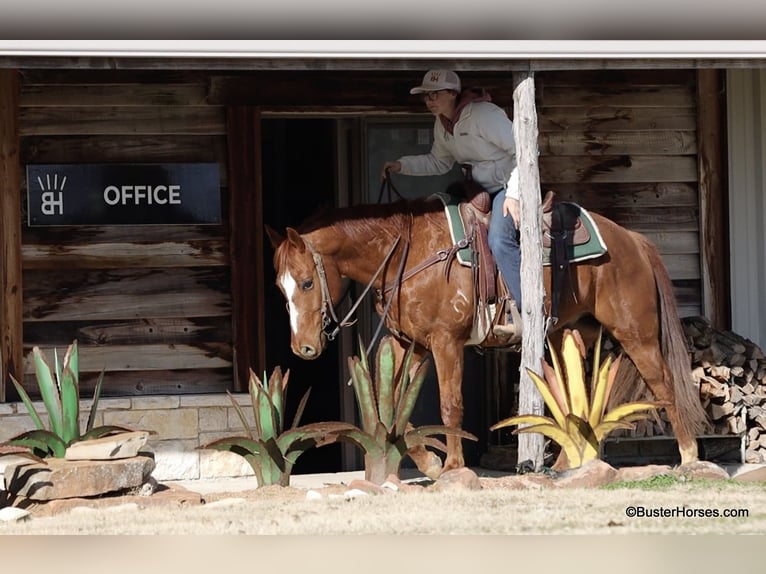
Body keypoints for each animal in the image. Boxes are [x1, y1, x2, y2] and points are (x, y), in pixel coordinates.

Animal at [266, 192, 709, 478]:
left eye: (307, 282)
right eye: (280, 288)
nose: (303, 348)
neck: (412, 252)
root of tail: (632, 239)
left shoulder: (445, 342)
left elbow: (450, 405)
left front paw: (452, 466)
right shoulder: (410, 344)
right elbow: (394, 403)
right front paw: (428, 462)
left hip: (636, 333)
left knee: (664, 385)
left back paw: (689, 458)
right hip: (568, 333)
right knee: (573, 394)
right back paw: (568, 464)